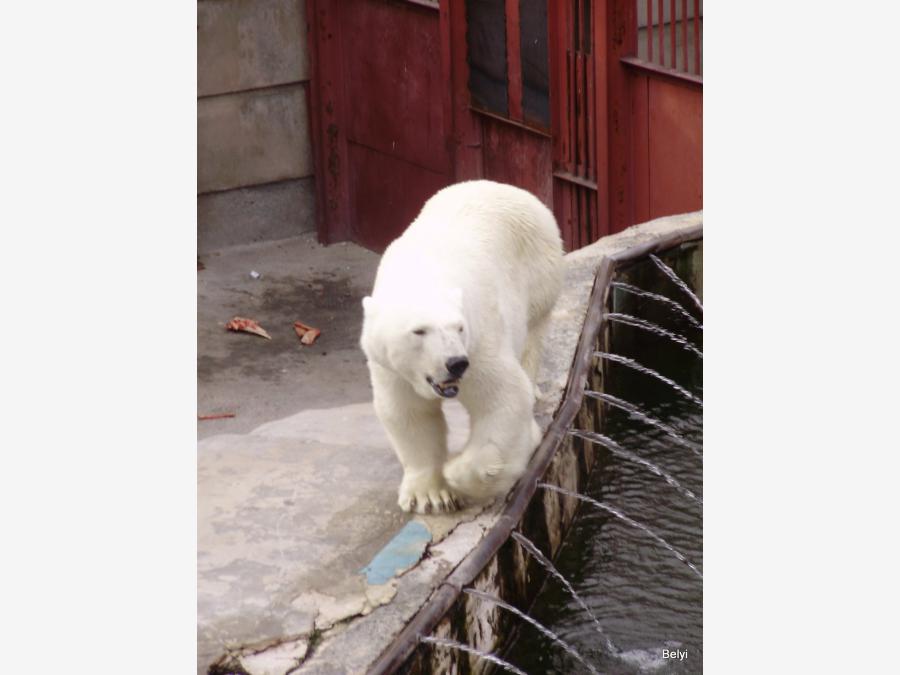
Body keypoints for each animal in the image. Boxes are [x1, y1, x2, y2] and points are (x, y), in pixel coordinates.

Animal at [360, 180, 564, 512]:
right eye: (419, 331)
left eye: (459, 327)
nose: (455, 363)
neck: (424, 275)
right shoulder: (390, 368)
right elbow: (407, 412)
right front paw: (428, 495)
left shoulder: (479, 343)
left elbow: (503, 399)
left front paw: (457, 474)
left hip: (539, 273)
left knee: (531, 336)